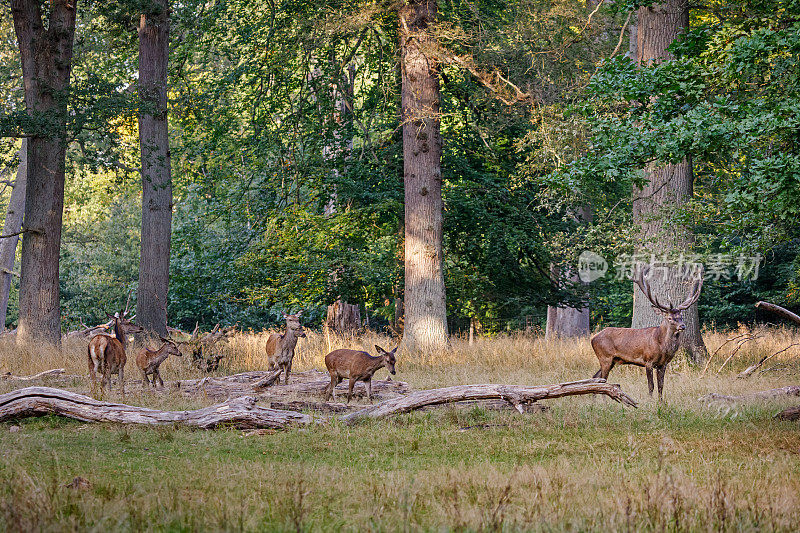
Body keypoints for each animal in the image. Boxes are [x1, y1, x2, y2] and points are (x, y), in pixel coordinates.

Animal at [588, 266, 700, 400]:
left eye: (681, 316)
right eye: (670, 318)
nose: (682, 326)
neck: (661, 345)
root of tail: (593, 339)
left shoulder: (663, 364)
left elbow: (661, 386)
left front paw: (661, 402)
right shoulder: (648, 361)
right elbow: (651, 385)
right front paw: (650, 401)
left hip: (611, 360)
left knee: (596, 377)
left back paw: (595, 401)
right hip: (605, 357)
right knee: (603, 380)